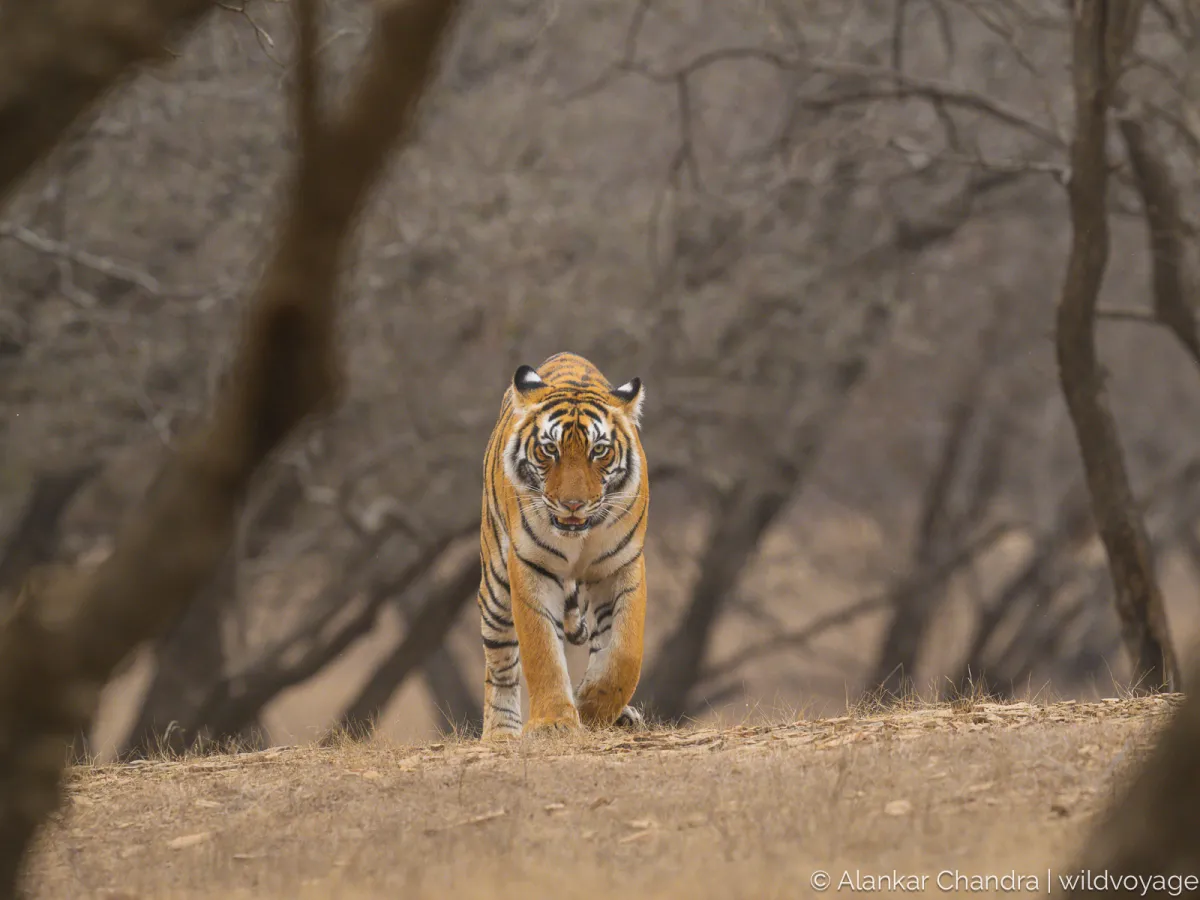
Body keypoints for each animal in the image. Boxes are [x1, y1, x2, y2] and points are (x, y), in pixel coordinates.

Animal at [477, 351, 649, 739]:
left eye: (599, 450)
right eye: (549, 450)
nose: (573, 504)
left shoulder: (622, 564)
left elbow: (624, 652)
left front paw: (593, 708)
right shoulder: (532, 565)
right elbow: (542, 652)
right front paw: (554, 722)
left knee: (601, 645)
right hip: (495, 588)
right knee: (500, 665)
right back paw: (500, 732)